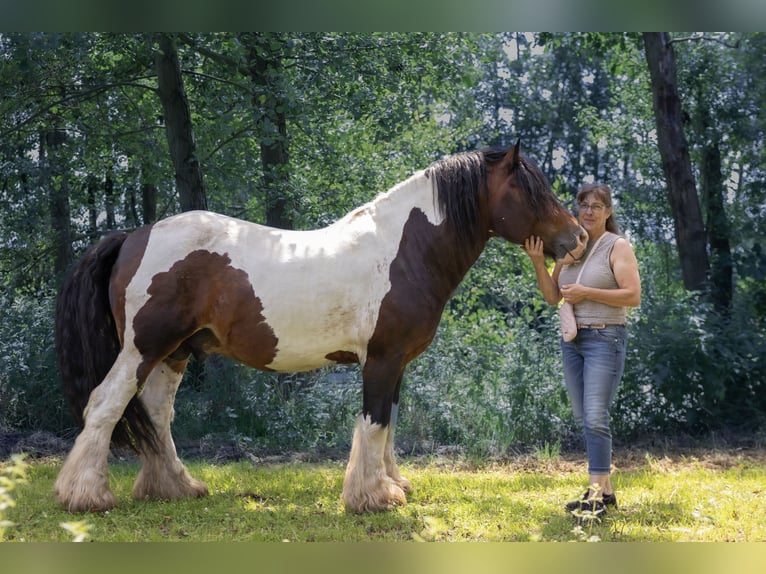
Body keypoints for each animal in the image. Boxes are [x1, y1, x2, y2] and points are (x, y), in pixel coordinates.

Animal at [54, 142, 588, 516]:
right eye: (530, 190)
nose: (579, 237)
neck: (403, 250)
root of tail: (134, 235)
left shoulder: (396, 364)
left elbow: (389, 424)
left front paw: (394, 484)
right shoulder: (381, 360)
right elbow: (374, 423)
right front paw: (373, 498)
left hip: (174, 353)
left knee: (157, 416)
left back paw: (175, 488)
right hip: (143, 348)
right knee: (105, 405)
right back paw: (85, 496)